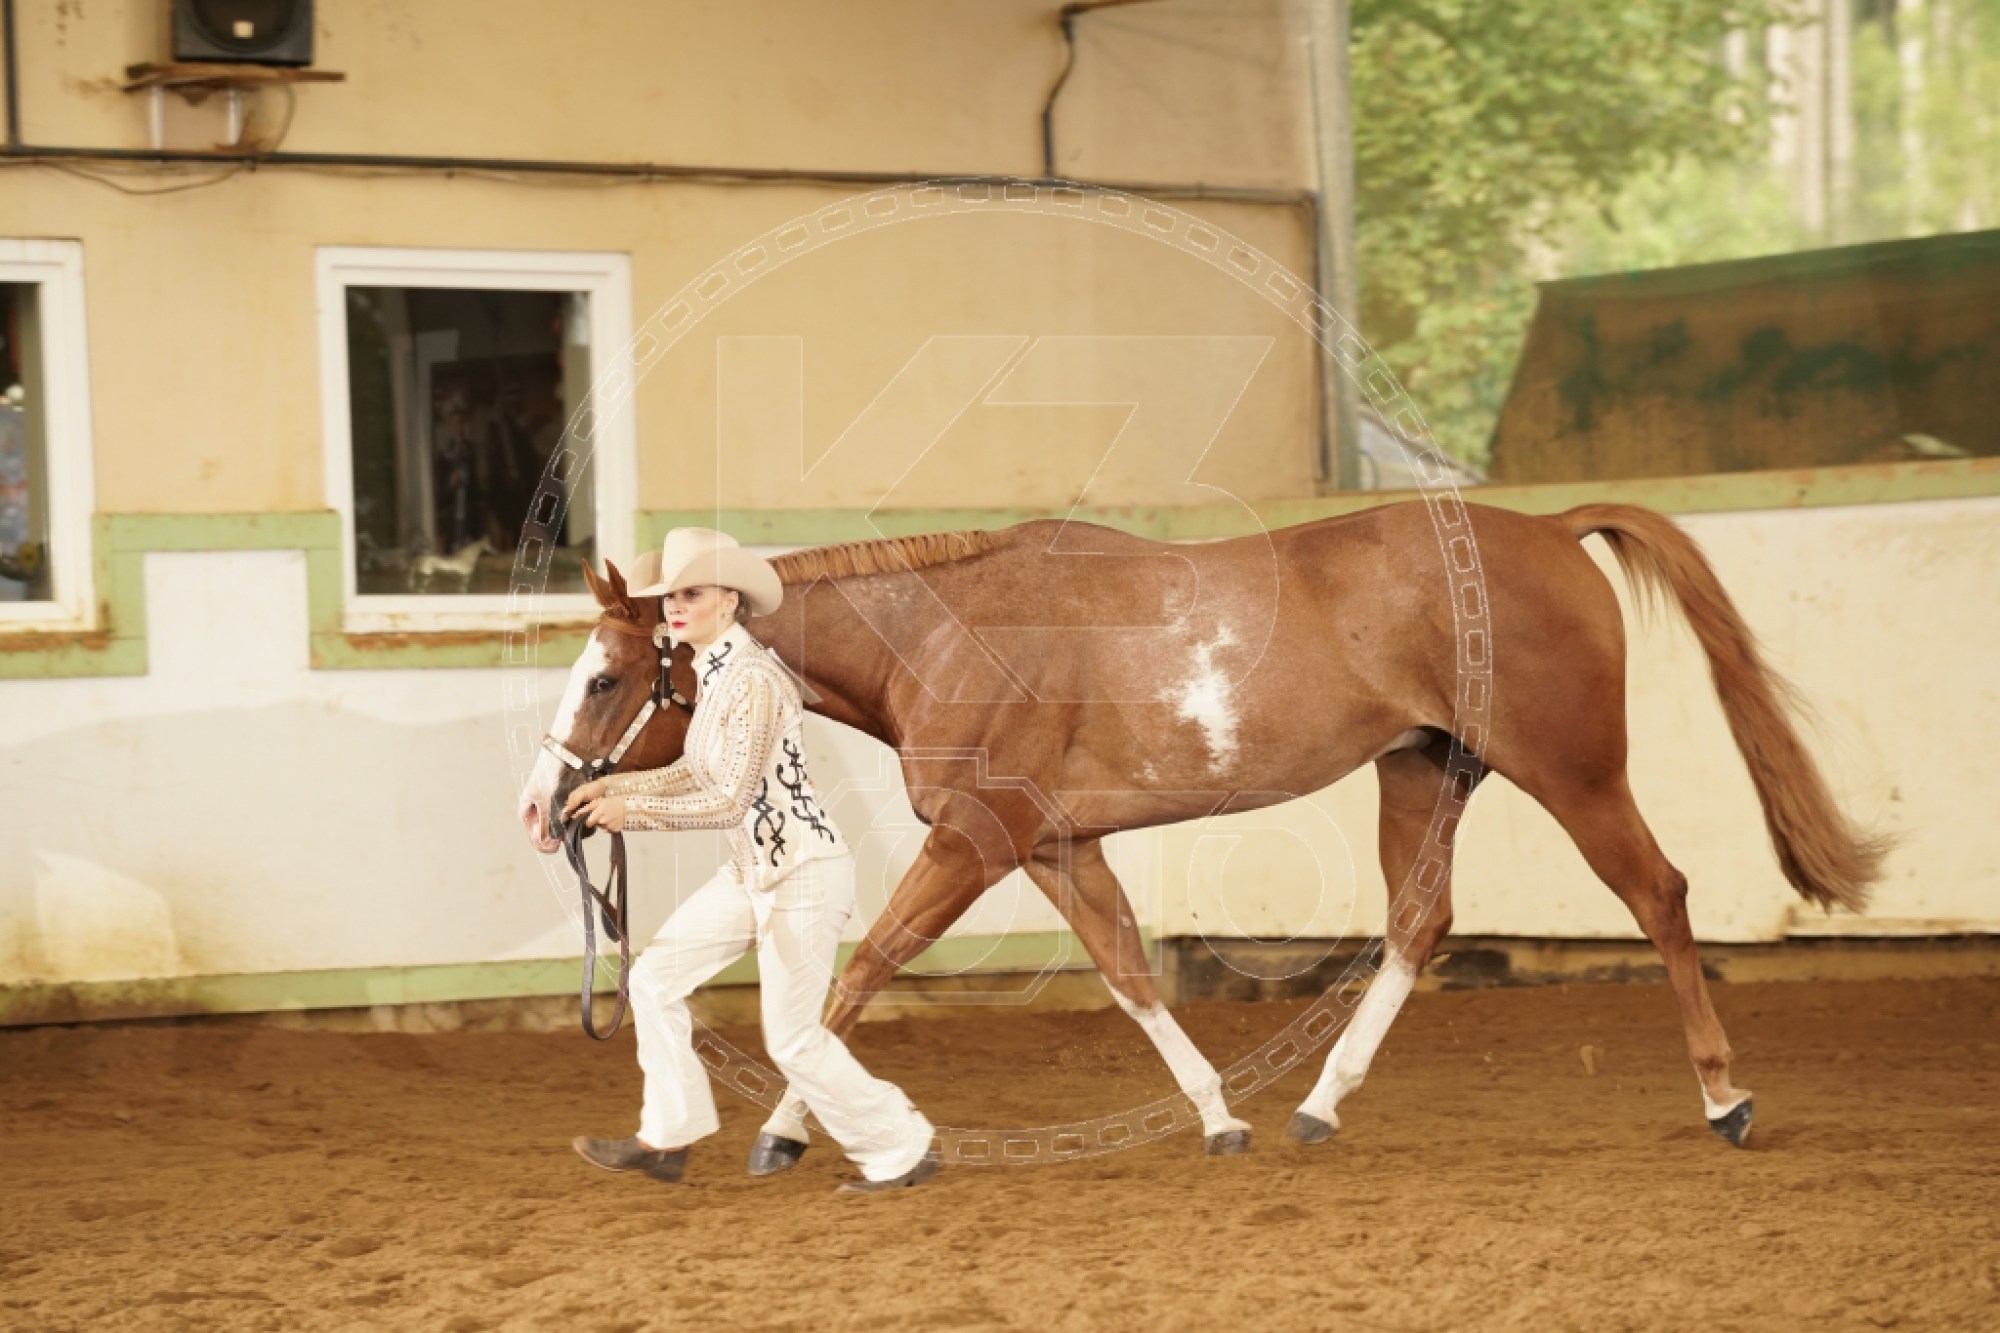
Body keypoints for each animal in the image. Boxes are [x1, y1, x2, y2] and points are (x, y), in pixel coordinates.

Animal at [518, 500, 1887, 1163]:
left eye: (604, 676)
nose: (547, 807)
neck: (947, 630)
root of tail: (1547, 531)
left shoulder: (976, 839)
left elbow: (855, 977)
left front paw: (786, 1130)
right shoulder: (1055, 847)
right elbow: (1129, 970)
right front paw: (1220, 1117)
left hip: (1574, 770)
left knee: (1657, 892)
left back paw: (1724, 1099)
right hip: (1423, 772)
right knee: (1418, 923)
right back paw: (1316, 1108)